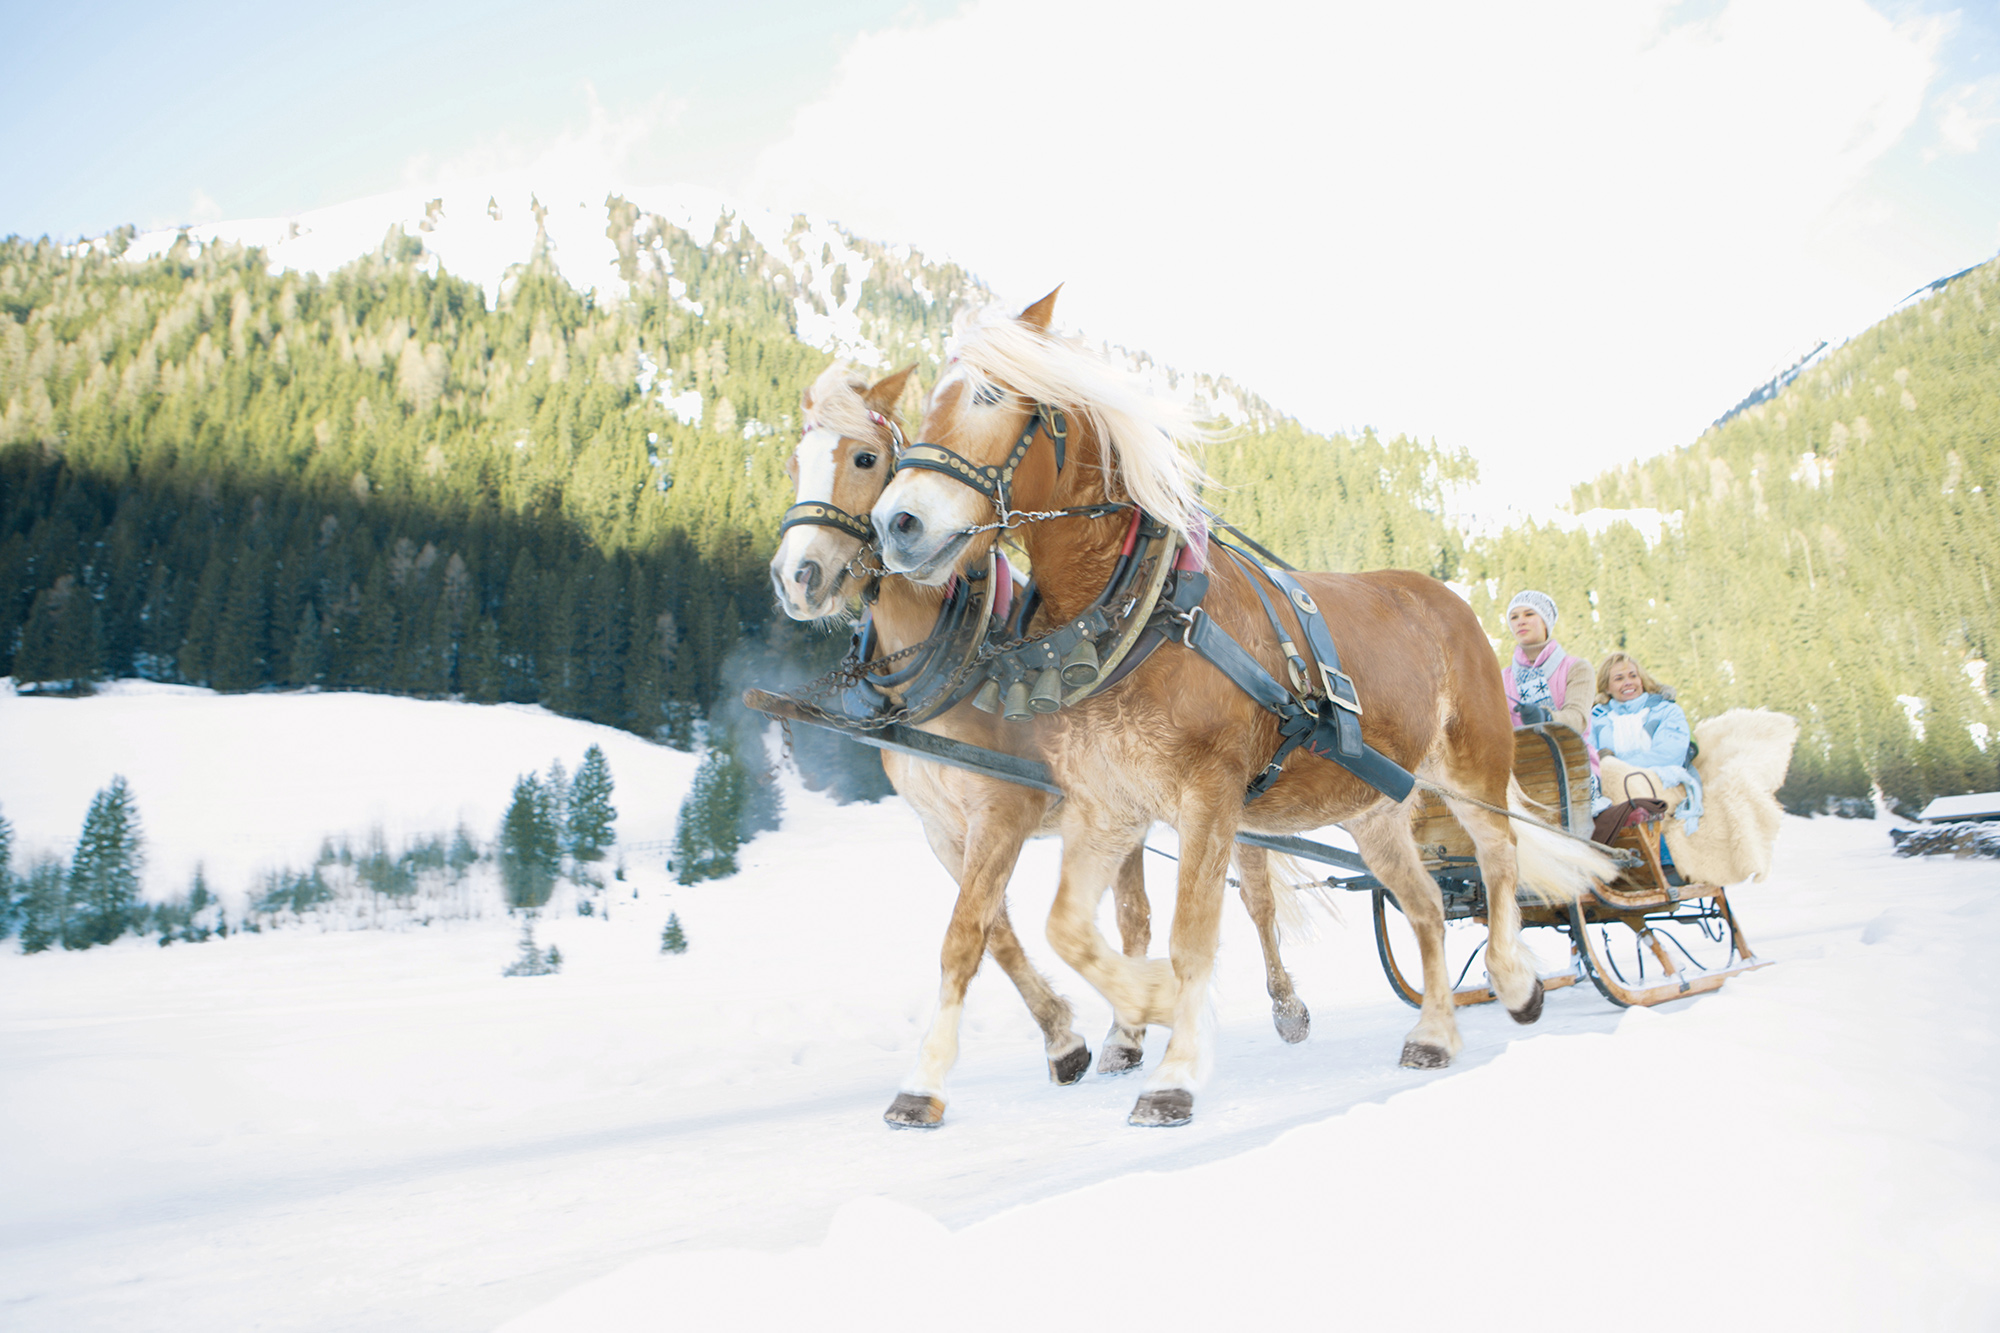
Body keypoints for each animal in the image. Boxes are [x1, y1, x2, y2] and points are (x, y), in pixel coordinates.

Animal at [764, 358, 1312, 1112]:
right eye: (794, 462)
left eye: (865, 458)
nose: (798, 577)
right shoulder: (944, 828)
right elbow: (994, 931)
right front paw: (1065, 1039)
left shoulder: (1005, 810)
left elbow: (967, 932)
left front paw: (930, 1084)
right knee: (1136, 915)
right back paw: (1127, 1035)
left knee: (1256, 898)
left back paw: (1285, 1007)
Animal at [868, 290, 1616, 1120]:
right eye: (923, 404)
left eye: (990, 395)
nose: (896, 524)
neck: (1146, 612)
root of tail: (1442, 596)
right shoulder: (1108, 807)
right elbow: (1068, 928)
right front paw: (1147, 1006)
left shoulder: (1207, 794)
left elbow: (1192, 933)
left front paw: (1173, 1068)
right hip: (1376, 810)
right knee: (1424, 904)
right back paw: (1433, 1033)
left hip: (1472, 766)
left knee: (1499, 860)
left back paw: (1515, 980)